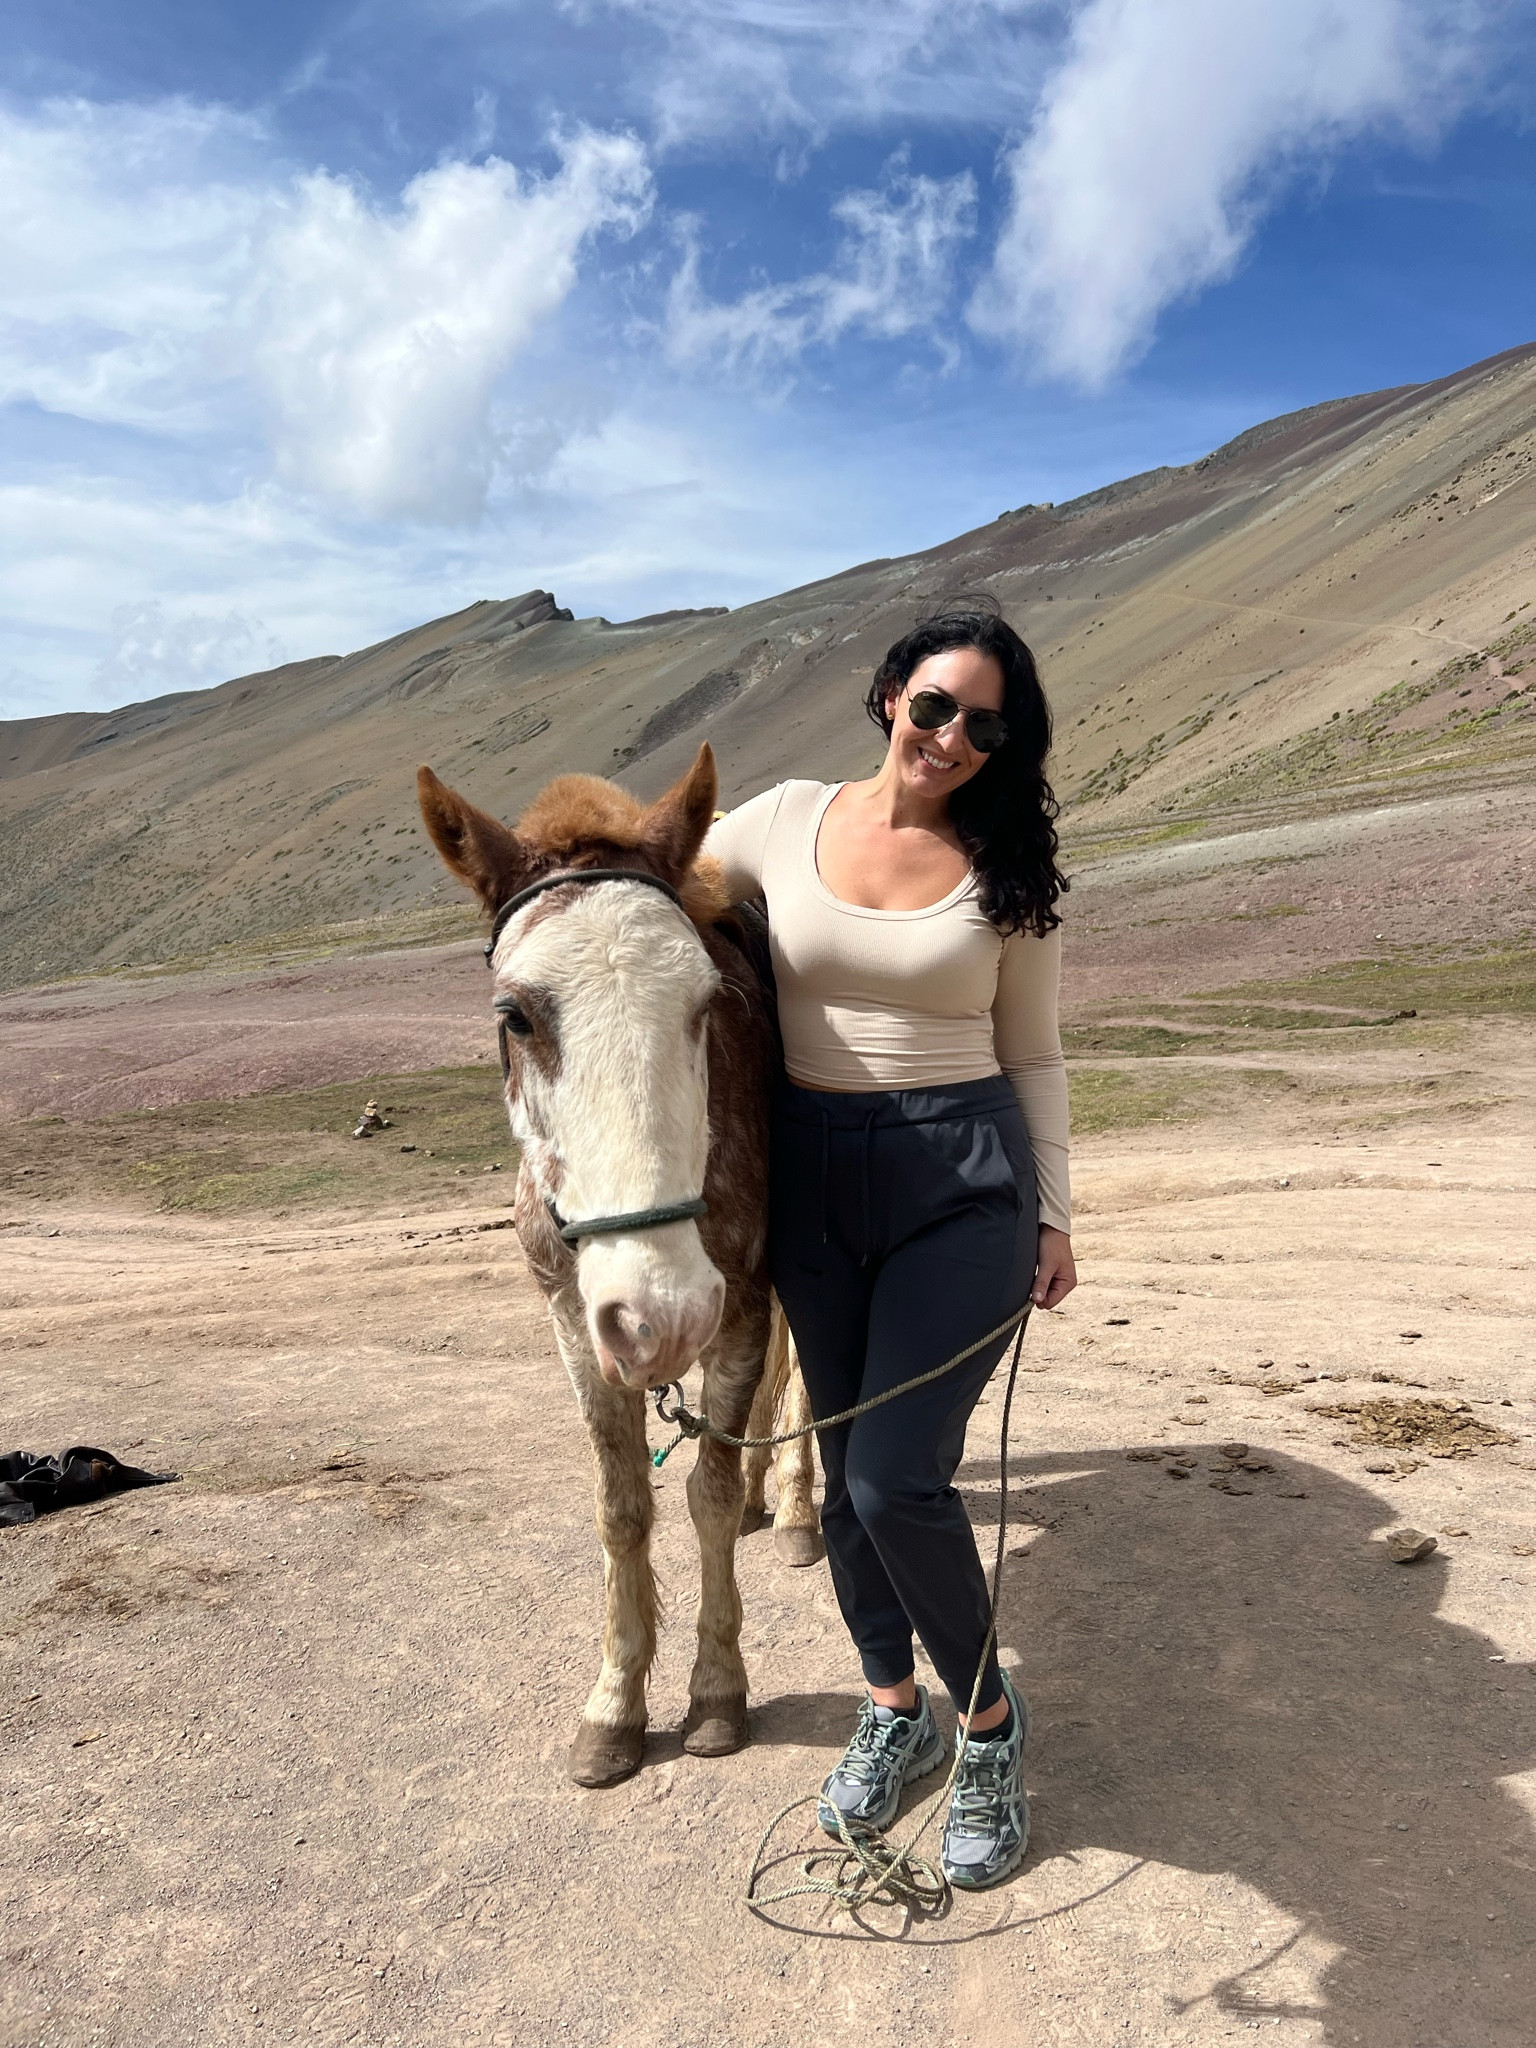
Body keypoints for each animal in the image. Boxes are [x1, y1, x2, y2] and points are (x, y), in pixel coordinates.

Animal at [417, 742, 818, 1787]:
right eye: (515, 1015)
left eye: (711, 1002)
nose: (658, 1316)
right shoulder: (571, 1326)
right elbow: (622, 1509)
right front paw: (614, 1707)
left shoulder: (741, 1303)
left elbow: (704, 1495)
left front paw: (715, 1693)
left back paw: (796, 1512)